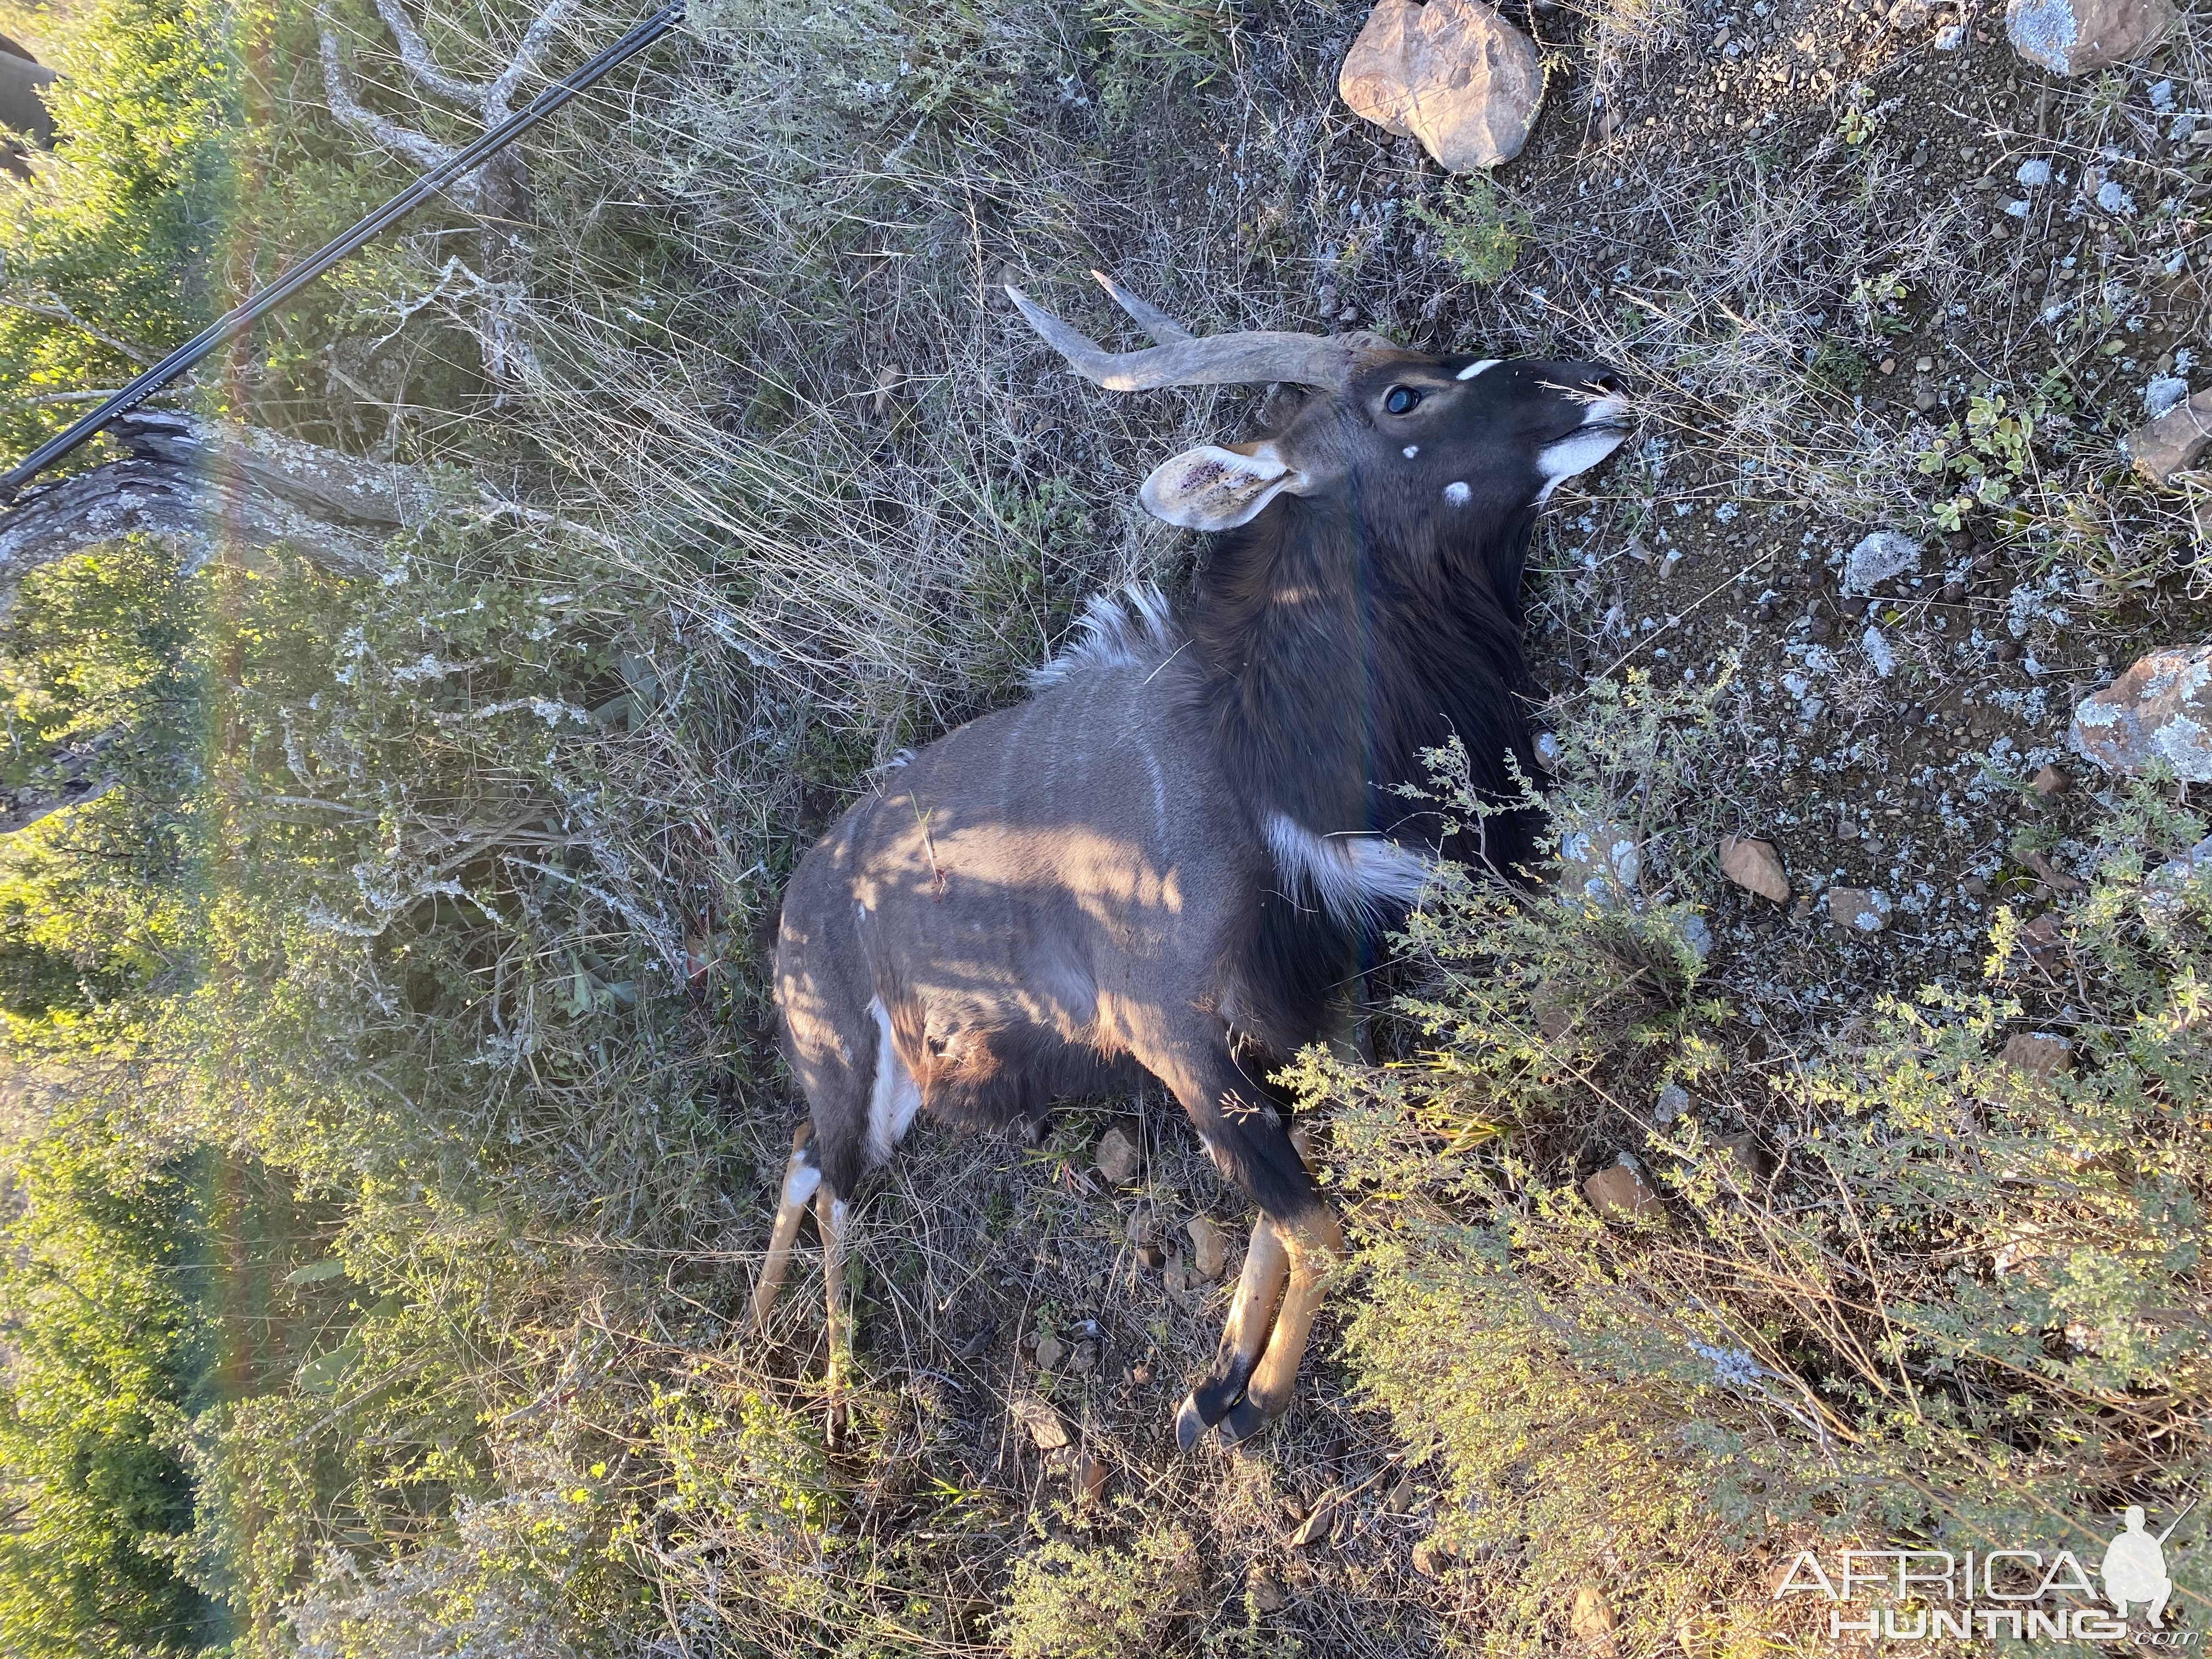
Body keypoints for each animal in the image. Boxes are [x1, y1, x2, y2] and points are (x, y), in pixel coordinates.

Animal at [752, 280, 1637, 1451]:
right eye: (1403, 396)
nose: (1601, 388)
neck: (1241, 755)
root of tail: (797, 902)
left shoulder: (1314, 1003)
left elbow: (1323, 1179)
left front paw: (1216, 1383)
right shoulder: (1175, 1028)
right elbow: (1317, 1220)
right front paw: (1248, 1397)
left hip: (892, 1089)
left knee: (806, 1158)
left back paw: (766, 1341)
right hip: (849, 1058)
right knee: (829, 1177)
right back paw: (836, 1386)